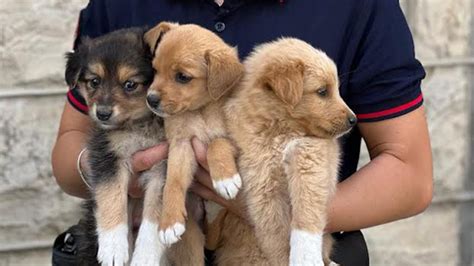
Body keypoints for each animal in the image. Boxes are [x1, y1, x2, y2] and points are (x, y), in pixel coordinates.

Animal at [65, 28, 204, 264]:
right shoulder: (106, 156)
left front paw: (145, 256)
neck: (139, 124)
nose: (102, 113)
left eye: (130, 84)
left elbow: (156, 213)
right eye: (94, 81)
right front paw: (113, 248)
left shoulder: (164, 166)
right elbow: (111, 196)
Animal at [143, 22, 244, 245]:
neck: (200, 110)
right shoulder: (181, 145)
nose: (150, 99)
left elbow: (216, 144)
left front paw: (224, 178)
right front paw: (169, 222)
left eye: (183, 77)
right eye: (155, 70)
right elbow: (172, 182)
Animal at [211, 38, 356, 266]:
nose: (354, 120)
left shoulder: (313, 157)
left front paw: (305, 256)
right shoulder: (261, 183)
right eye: (323, 91)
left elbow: (306, 211)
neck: (280, 131)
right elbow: (274, 233)